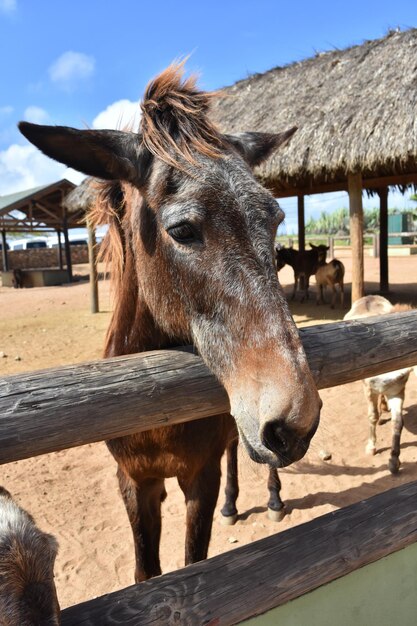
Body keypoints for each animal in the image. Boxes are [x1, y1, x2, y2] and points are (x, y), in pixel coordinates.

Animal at [18, 63, 318, 580]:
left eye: (277, 219)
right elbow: (147, 572)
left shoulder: (200, 477)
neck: (154, 410)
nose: (294, 422)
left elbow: (194, 559)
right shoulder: (135, 483)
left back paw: (272, 499)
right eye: (181, 230)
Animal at [344, 294, 412, 470]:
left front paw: (394, 460)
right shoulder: (370, 390)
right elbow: (372, 417)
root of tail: (370, 297)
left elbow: (397, 423)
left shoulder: (397, 392)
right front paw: (371, 447)